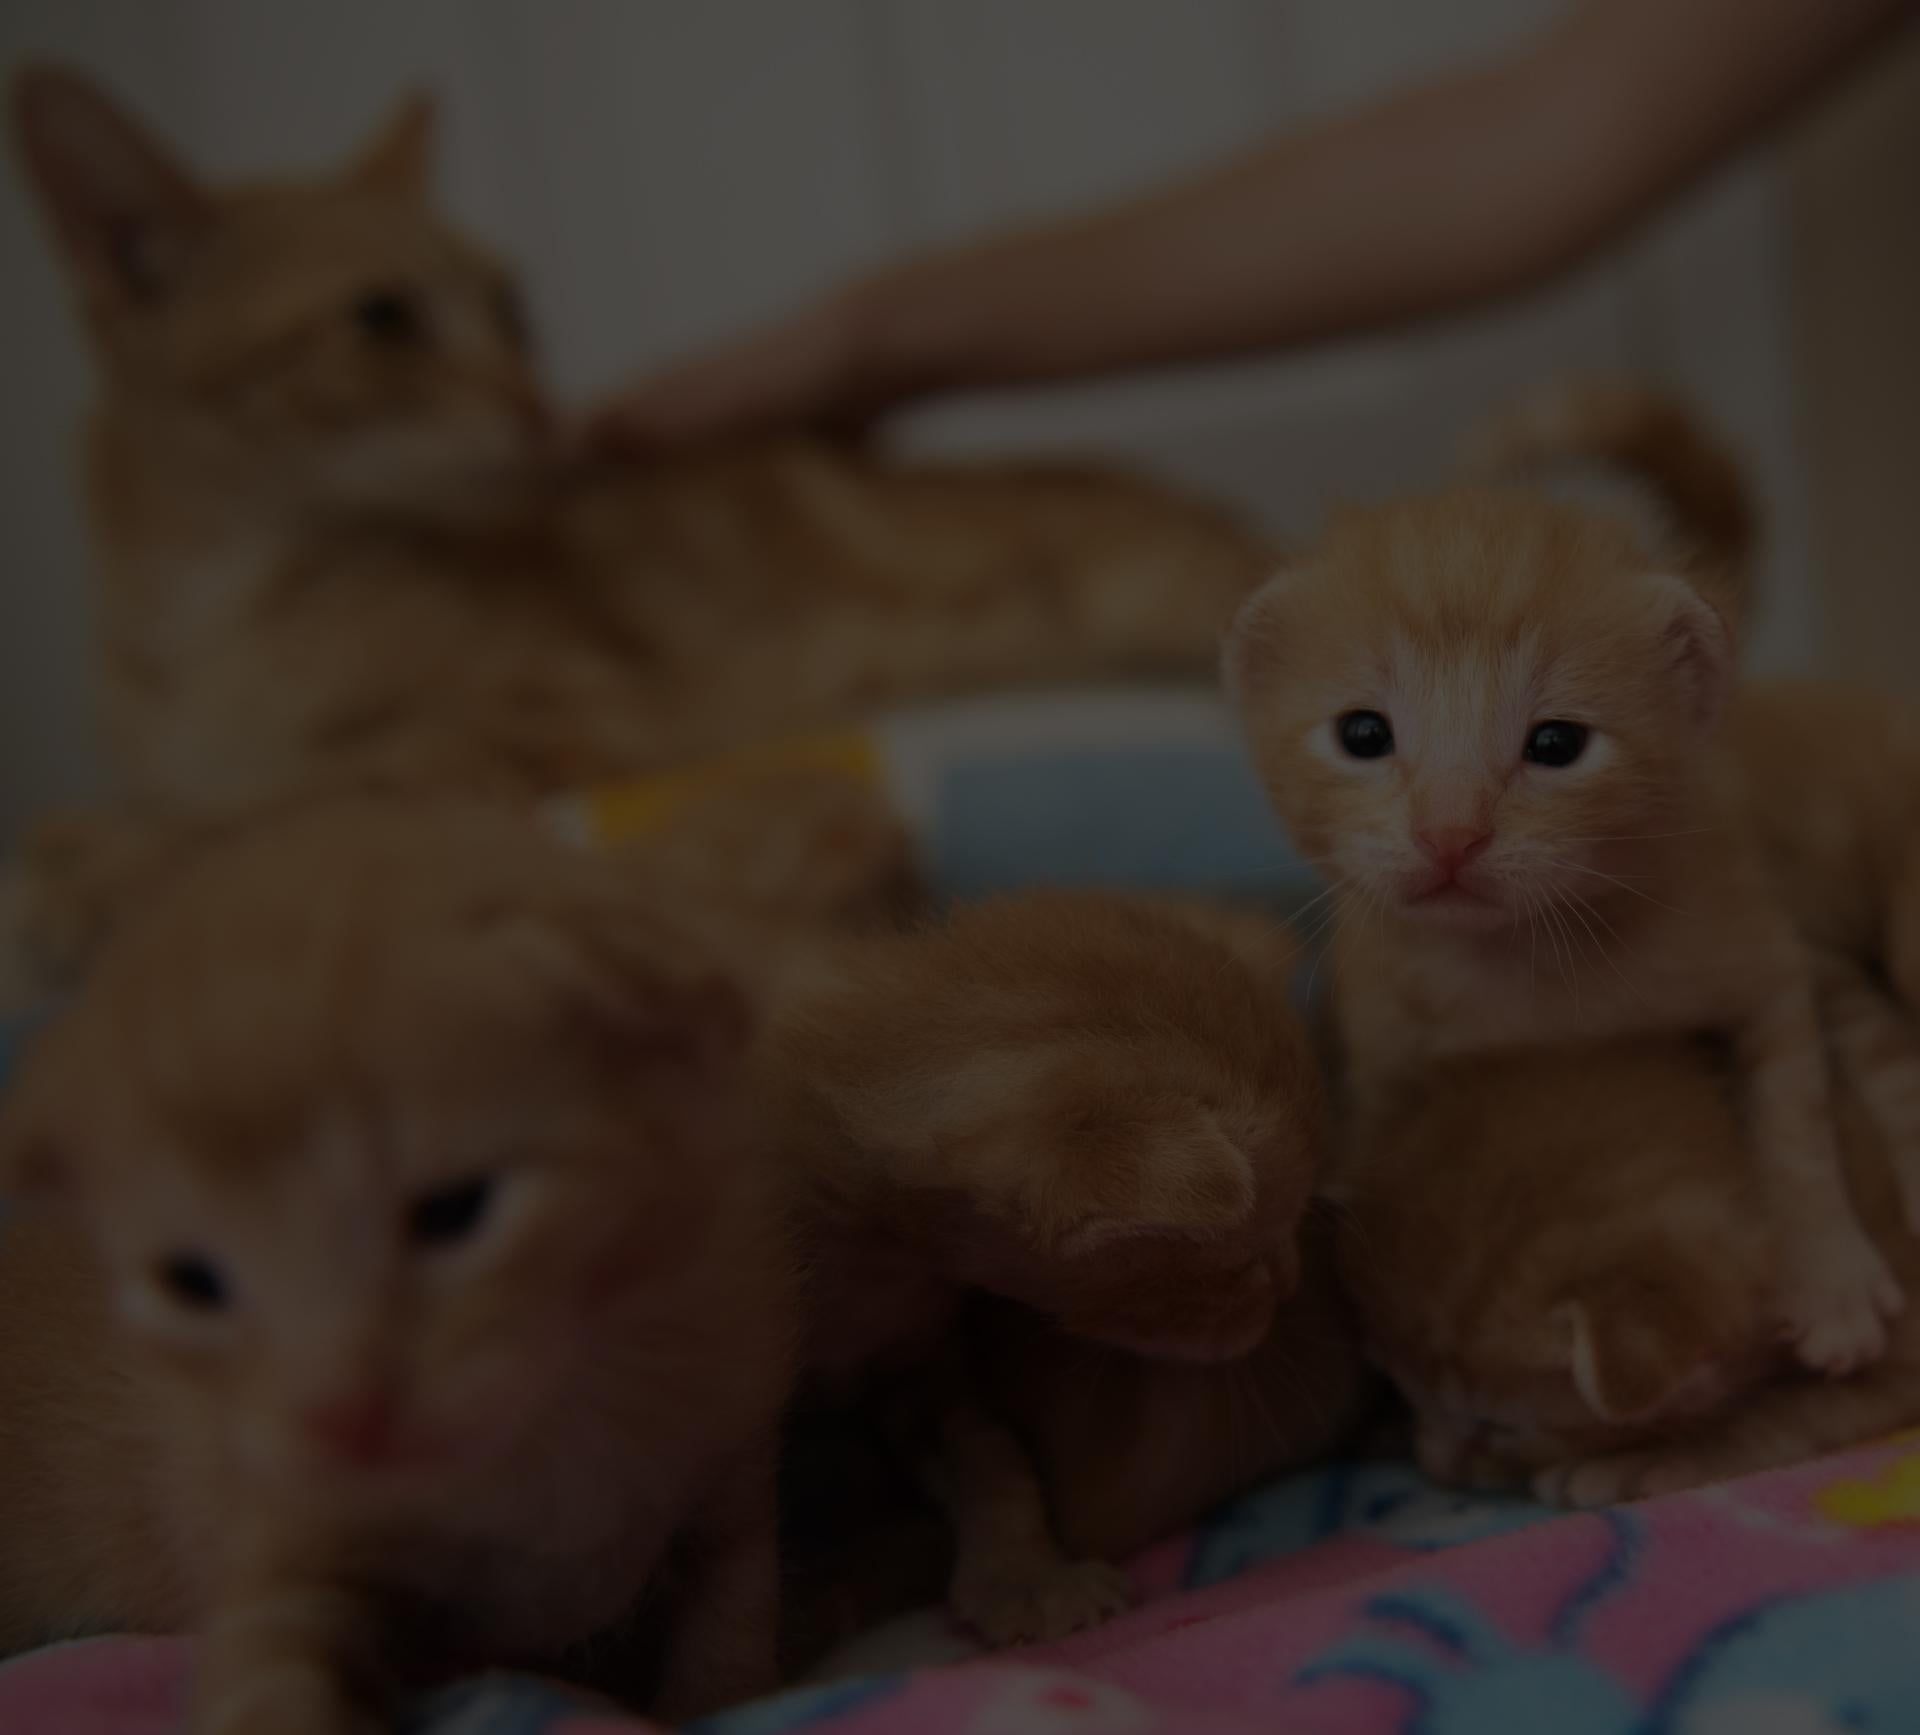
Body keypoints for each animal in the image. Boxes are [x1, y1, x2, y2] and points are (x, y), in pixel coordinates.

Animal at [0, 798, 794, 1719]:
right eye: (193, 1283)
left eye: (455, 1210)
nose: (338, 1412)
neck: (550, 1429)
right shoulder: (283, 1533)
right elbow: (269, 1676)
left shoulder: (733, 1462)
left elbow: (732, 1628)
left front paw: (723, 1703)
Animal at [1228, 412, 1904, 1374]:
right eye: (1362, 733)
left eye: (1556, 744)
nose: (1450, 832)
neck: (1530, 967)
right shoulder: (1388, 1047)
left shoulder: (1757, 950)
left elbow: (1795, 1117)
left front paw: (1829, 1274)